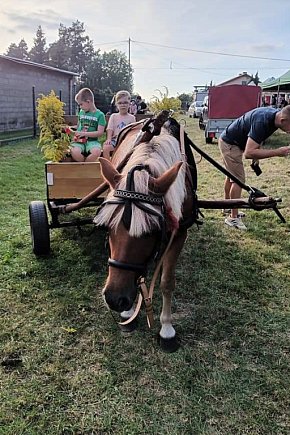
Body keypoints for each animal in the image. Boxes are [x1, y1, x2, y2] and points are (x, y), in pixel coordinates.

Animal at [94, 114, 198, 352]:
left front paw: (167, 329)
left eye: (152, 231)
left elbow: (167, 282)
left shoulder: (180, 233)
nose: (115, 299)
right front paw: (128, 312)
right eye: (106, 227)